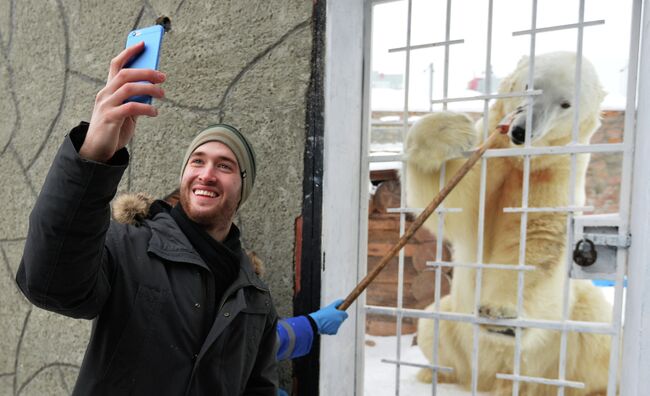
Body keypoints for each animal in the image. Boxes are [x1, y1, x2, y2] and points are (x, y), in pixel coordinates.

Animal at [408, 51, 616, 394]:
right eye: (531, 85)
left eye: (565, 103)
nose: (521, 130)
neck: (521, 157)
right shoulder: (493, 154)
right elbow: (457, 201)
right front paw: (447, 131)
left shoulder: (555, 173)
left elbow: (535, 240)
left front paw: (500, 315)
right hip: (452, 324)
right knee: (430, 324)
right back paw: (435, 375)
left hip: (575, 325)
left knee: (598, 335)